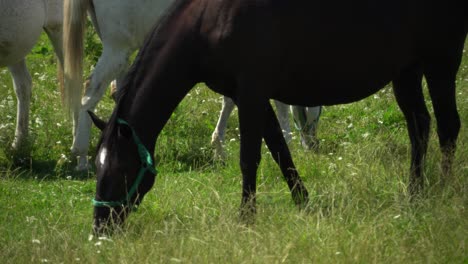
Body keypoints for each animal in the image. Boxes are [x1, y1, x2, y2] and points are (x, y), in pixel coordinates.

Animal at [89, 0, 466, 231]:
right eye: (98, 164)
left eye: (122, 168)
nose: (100, 226)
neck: (211, 17)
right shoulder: (252, 96)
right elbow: (279, 150)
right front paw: (303, 202)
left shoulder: (251, 92)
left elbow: (250, 157)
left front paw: (246, 218)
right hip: (406, 72)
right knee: (419, 126)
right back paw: (414, 193)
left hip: (441, 64)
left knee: (448, 126)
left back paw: (444, 192)